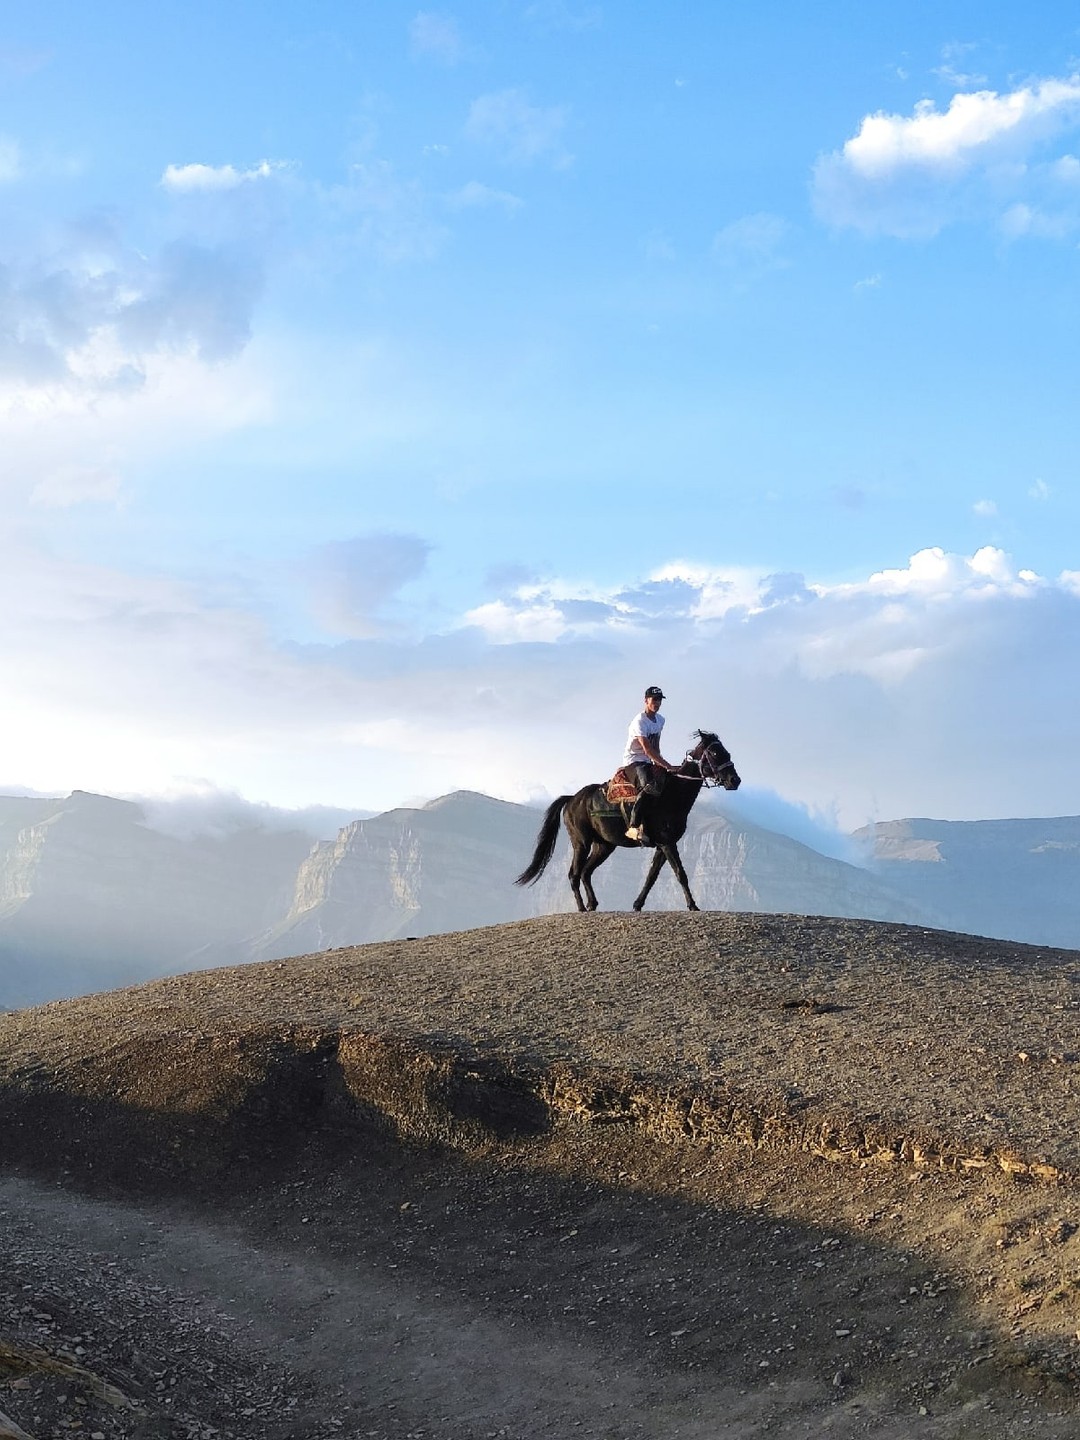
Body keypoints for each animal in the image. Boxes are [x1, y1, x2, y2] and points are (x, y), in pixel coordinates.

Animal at [518, 731, 743, 910]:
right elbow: (680, 873)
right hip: (581, 842)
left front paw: (637, 904)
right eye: (715, 753)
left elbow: (651, 877)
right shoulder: (667, 843)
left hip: (604, 846)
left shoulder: (662, 846)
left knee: (585, 872)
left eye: (727, 753)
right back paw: (581, 908)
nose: (735, 780)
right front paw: (693, 905)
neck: (672, 795)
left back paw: (592, 904)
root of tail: (572, 798)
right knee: (574, 874)